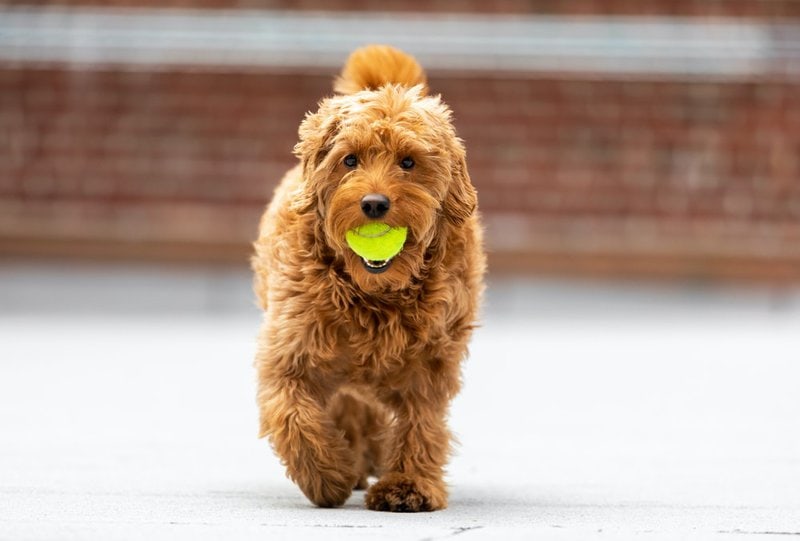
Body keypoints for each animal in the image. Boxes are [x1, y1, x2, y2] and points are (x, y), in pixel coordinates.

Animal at [253, 43, 484, 510]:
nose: (375, 203)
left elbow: (421, 421)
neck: (375, 293)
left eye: (408, 162)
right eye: (350, 160)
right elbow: (292, 415)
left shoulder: (430, 362)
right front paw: (329, 476)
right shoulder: (291, 349)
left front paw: (409, 485)